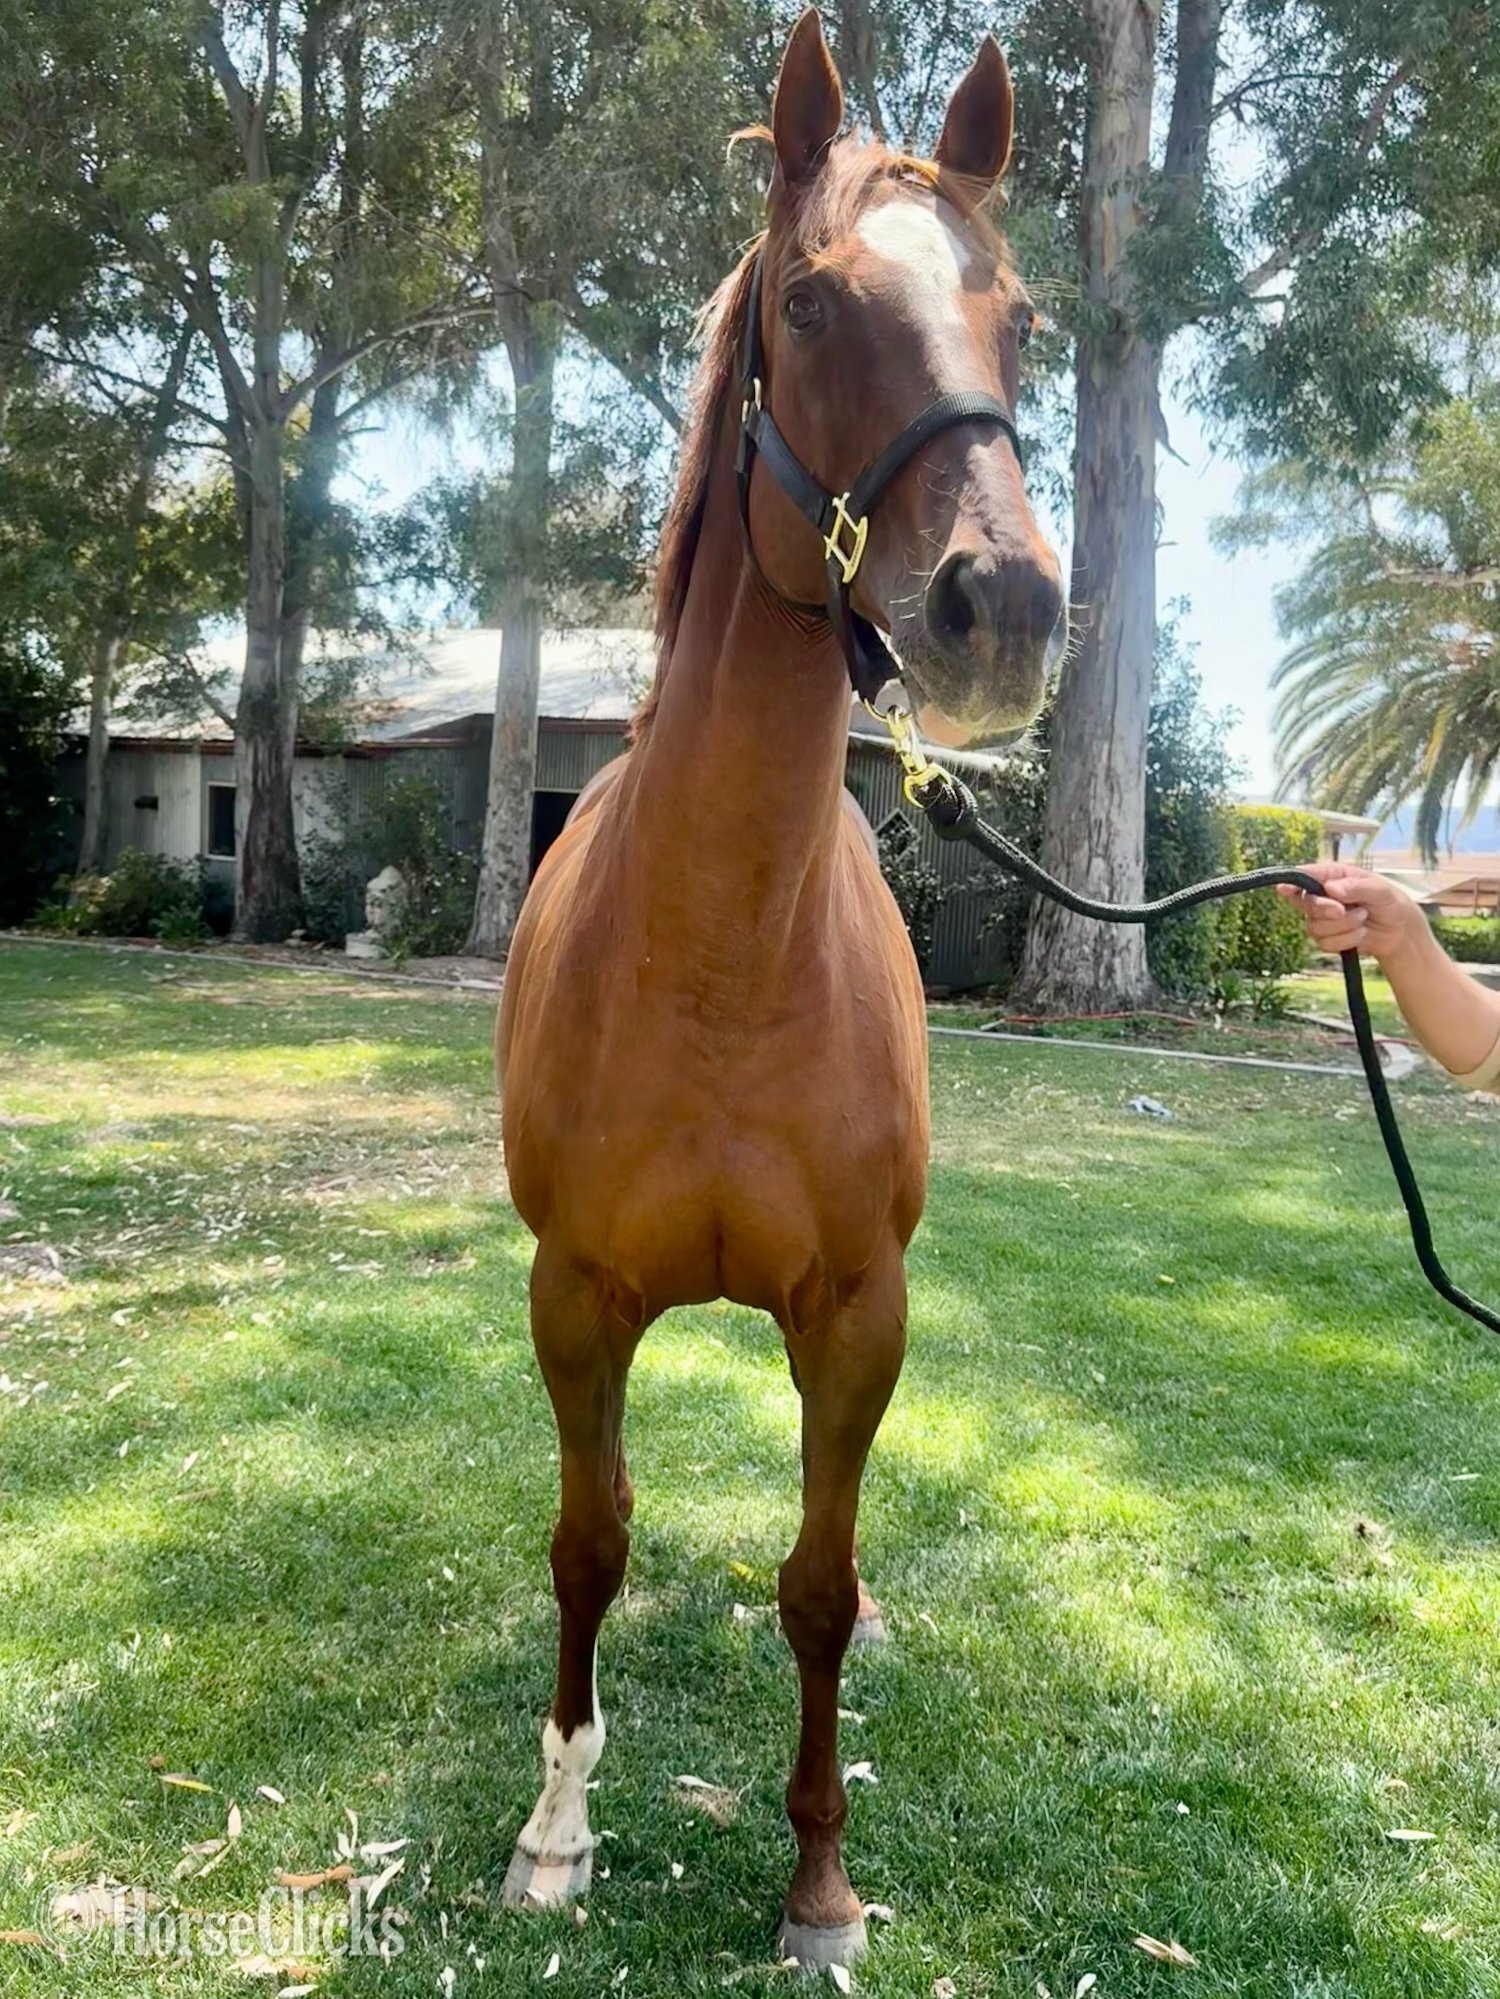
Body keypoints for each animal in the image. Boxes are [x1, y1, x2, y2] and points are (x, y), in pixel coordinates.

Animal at [496, 8, 1062, 1969]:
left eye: (1021, 319)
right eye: (810, 304)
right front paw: (559, 1828)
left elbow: (818, 1583)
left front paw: (819, 1878)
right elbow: (589, 1540)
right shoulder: (578, 1294)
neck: (725, 954)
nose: (1001, 606)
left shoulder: (857, 1311)